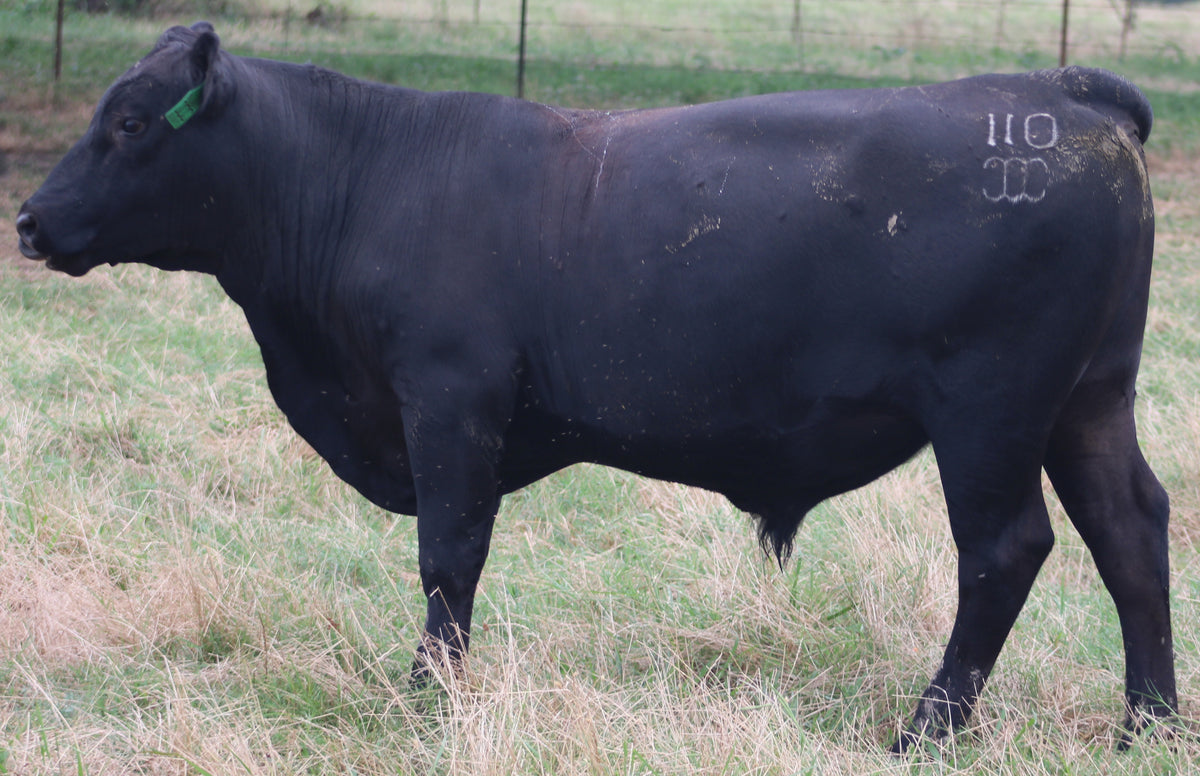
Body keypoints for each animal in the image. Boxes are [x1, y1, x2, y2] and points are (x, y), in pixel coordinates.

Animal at [14, 22, 1171, 753]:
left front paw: (428, 698)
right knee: (1131, 529)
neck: (369, 179)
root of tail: (1059, 91)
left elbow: (448, 555)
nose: (27, 219)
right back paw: (1146, 723)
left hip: (991, 413)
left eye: (130, 123)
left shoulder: (450, 398)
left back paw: (926, 731)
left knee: (1006, 549)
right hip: (1090, 400)